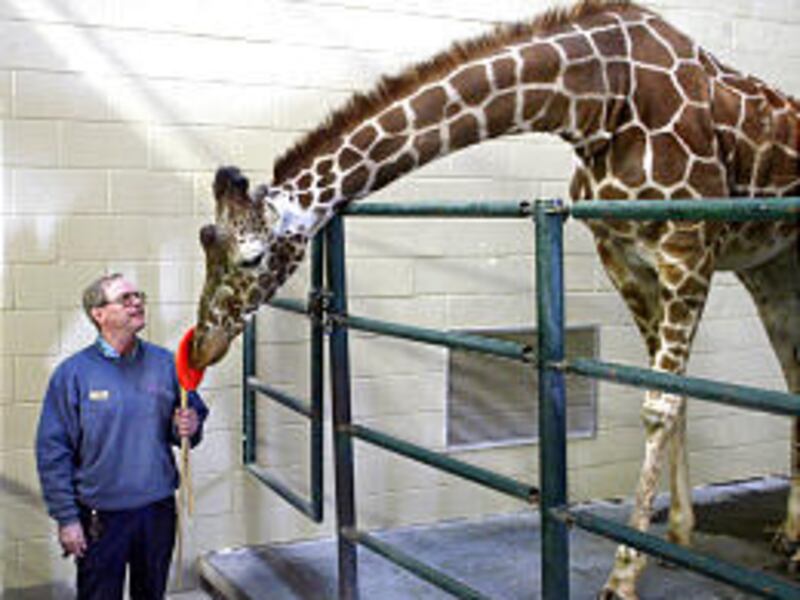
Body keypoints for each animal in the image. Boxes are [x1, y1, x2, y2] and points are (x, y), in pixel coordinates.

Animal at [190, 1, 800, 597]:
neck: (598, 104)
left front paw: (623, 576)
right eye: (204, 239)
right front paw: (675, 536)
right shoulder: (623, 256)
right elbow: (674, 393)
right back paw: (788, 537)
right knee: (793, 373)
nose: (201, 347)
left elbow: (660, 404)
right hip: (770, 268)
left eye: (250, 258)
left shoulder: (687, 250)